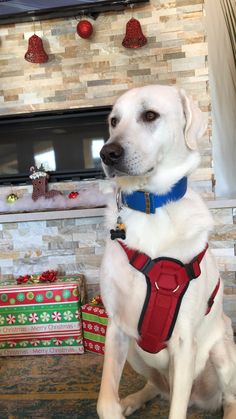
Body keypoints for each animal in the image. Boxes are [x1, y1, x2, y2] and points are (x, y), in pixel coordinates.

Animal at [96, 85, 236, 419]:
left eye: (150, 115)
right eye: (114, 121)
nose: (107, 152)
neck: (151, 206)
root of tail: (203, 399)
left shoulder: (184, 342)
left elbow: (177, 410)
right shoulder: (116, 328)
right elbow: (105, 401)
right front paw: (116, 406)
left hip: (222, 353)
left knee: (229, 398)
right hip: (136, 354)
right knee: (157, 387)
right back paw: (133, 399)